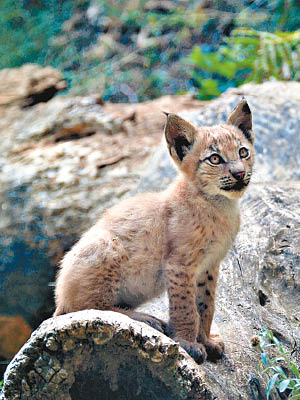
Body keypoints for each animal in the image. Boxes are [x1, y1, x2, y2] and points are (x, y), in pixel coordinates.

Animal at [54, 99, 253, 362]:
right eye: (215, 159)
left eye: (243, 152)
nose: (239, 174)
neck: (219, 204)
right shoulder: (180, 264)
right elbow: (186, 307)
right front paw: (188, 343)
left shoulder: (209, 265)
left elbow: (205, 305)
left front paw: (206, 339)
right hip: (106, 242)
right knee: (83, 309)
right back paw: (144, 318)